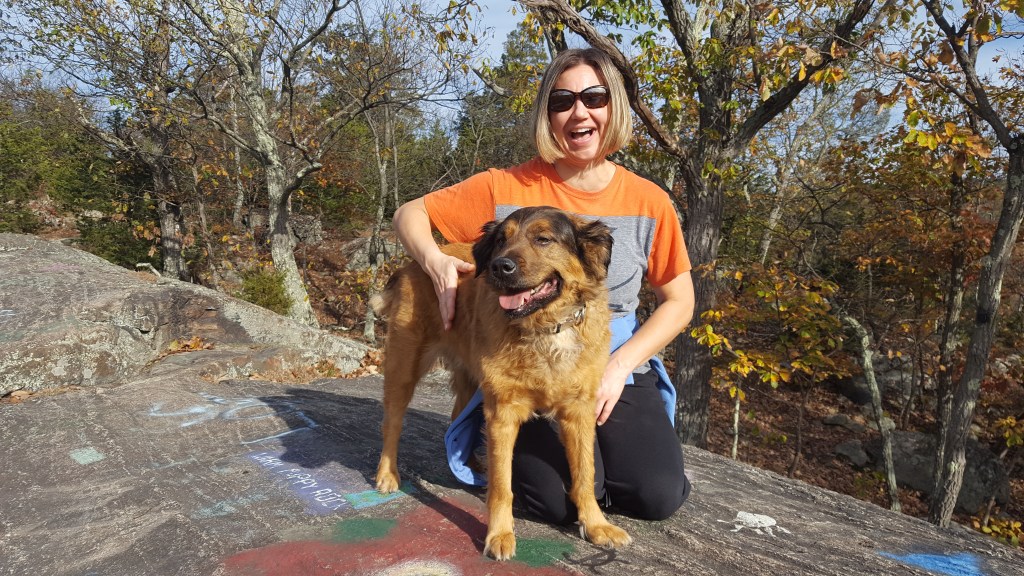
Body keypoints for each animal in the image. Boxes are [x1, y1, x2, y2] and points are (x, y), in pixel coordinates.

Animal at [371, 206, 631, 560]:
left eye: (543, 239)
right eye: (500, 241)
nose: (499, 266)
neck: (547, 329)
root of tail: (410, 265)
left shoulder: (579, 414)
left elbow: (585, 474)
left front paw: (595, 524)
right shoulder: (503, 413)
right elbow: (502, 486)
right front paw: (500, 533)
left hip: (469, 380)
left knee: (456, 420)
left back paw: (468, 464)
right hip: (404, 367)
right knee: (392, 423)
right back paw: (387, 474)